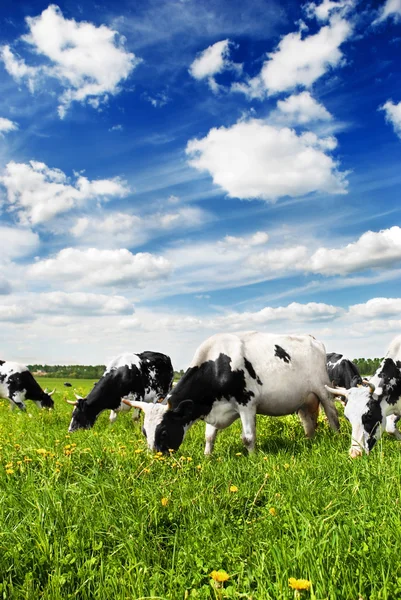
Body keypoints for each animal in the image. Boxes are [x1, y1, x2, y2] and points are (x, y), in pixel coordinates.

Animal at [121, 332, 338, 454]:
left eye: (164, 431)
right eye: (144, 431)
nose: (154, 457)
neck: (218, 366)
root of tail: (311, 339)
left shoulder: (247, 404)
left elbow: (248, 437)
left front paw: (253, 458)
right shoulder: (212, 407)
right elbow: (209, 437)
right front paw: (207, 458)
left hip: (323, 389)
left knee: (333, 415)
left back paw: (337, 438)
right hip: (304, 399)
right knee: (308, 422)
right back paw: (309, 442)